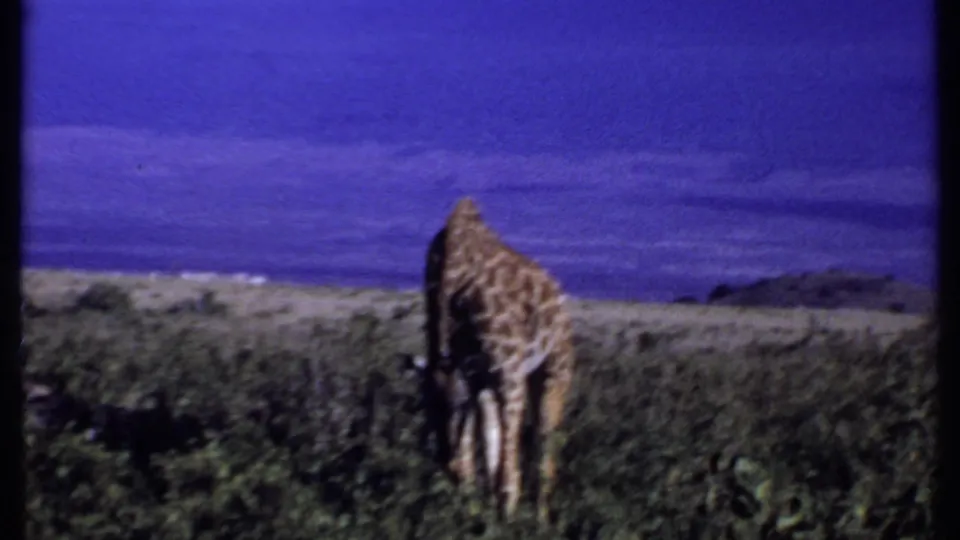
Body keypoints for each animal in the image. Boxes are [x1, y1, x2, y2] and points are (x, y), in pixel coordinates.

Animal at [402, 196, 575, 524]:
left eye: (456, 407)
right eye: (425, 406)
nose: (442, 457)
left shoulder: (507, 375)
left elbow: (507, 475)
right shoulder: (475, 380)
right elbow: (478, 463)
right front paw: (474, 516)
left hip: (555, 363)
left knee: (545, 446)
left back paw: (541, 522)